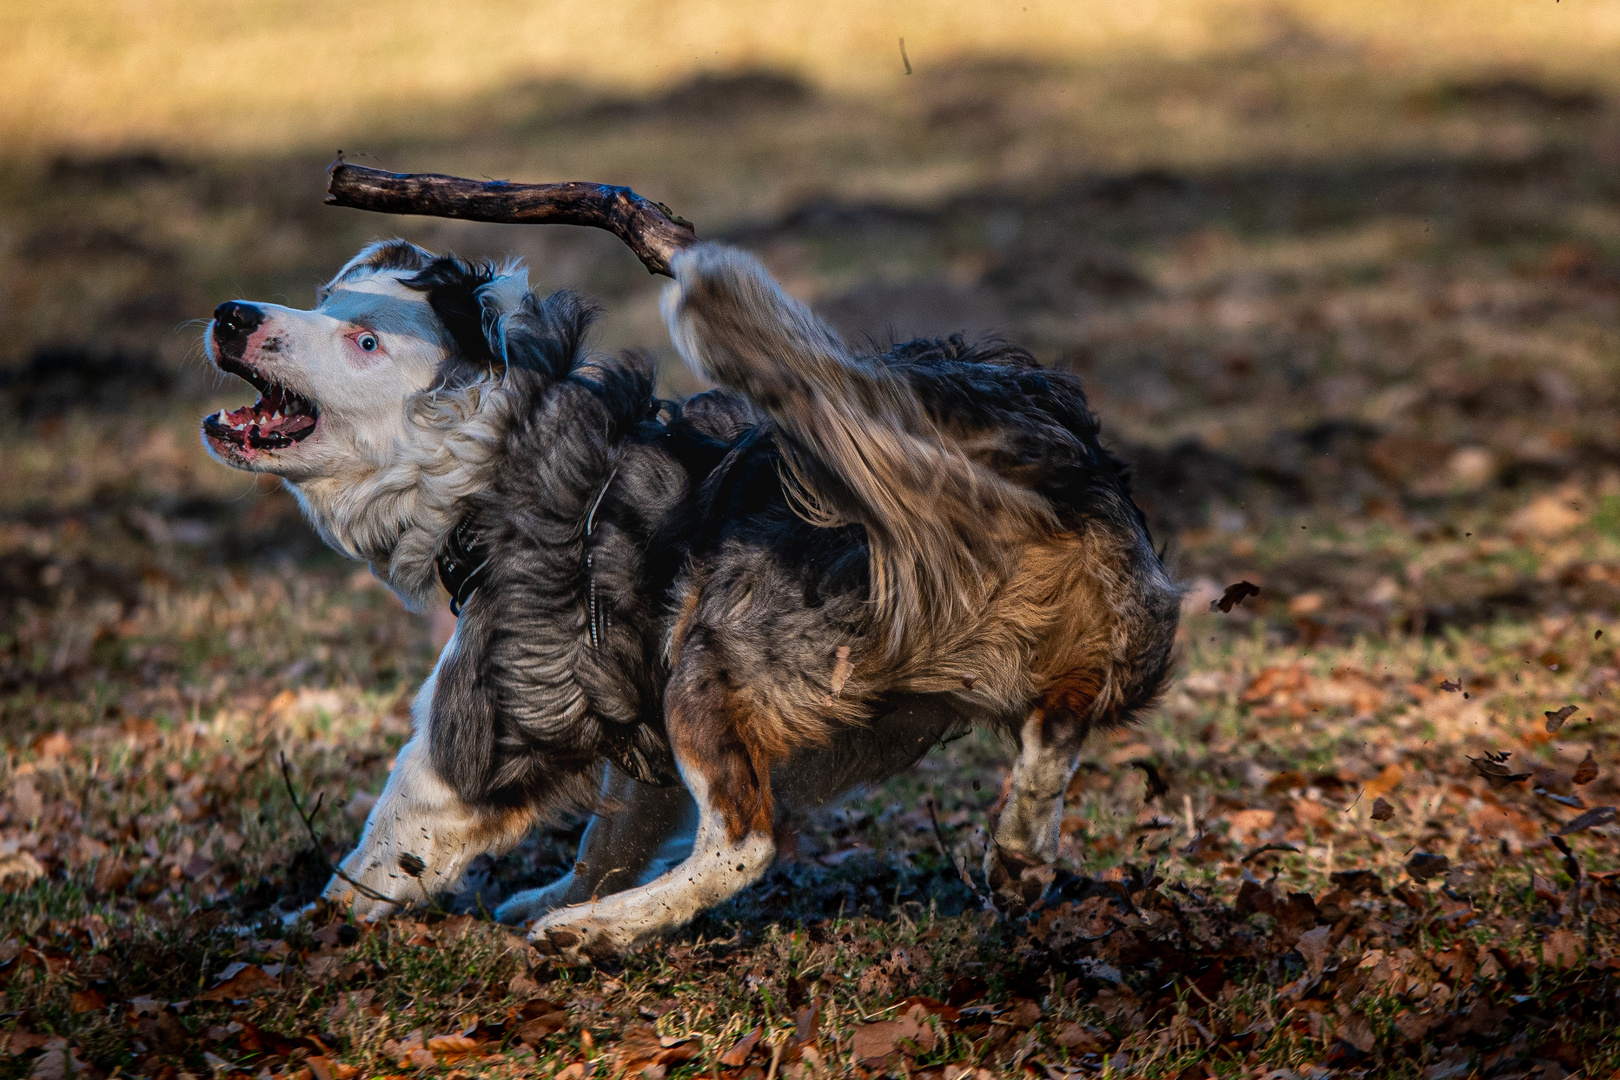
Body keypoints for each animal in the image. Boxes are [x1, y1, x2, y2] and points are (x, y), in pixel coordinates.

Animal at [202, 241, 1185, 958]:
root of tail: (1026, 466)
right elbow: (614, 829)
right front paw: (558, 888)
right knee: (1055, 737)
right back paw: (1019, 855)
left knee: (744, 842)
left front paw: (290, 932)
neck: (494, 446)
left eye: (365, 341)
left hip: (708, 660)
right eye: (327, 296)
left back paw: (595, 933)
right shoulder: (621, 695)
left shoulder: (484, 709)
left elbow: (382, 842)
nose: (232, 314)